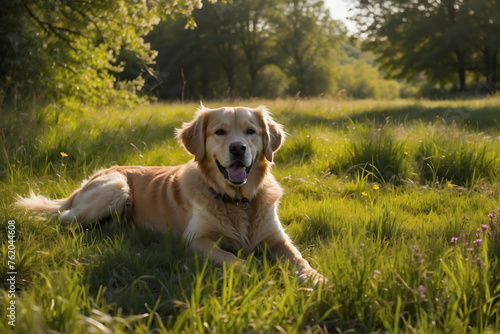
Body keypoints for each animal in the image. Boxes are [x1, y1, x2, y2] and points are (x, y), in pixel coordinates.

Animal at [15, 105, 324, 284]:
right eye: (220, 132)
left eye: (251, 131)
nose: (238, 148)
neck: (237, 200)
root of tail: (92, 177)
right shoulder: (196, 240)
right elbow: (231, 259)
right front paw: (254, 274)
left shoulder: (278, 240)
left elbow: (300, 258)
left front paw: (316, 278)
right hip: (116, 187)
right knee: (65, 219)